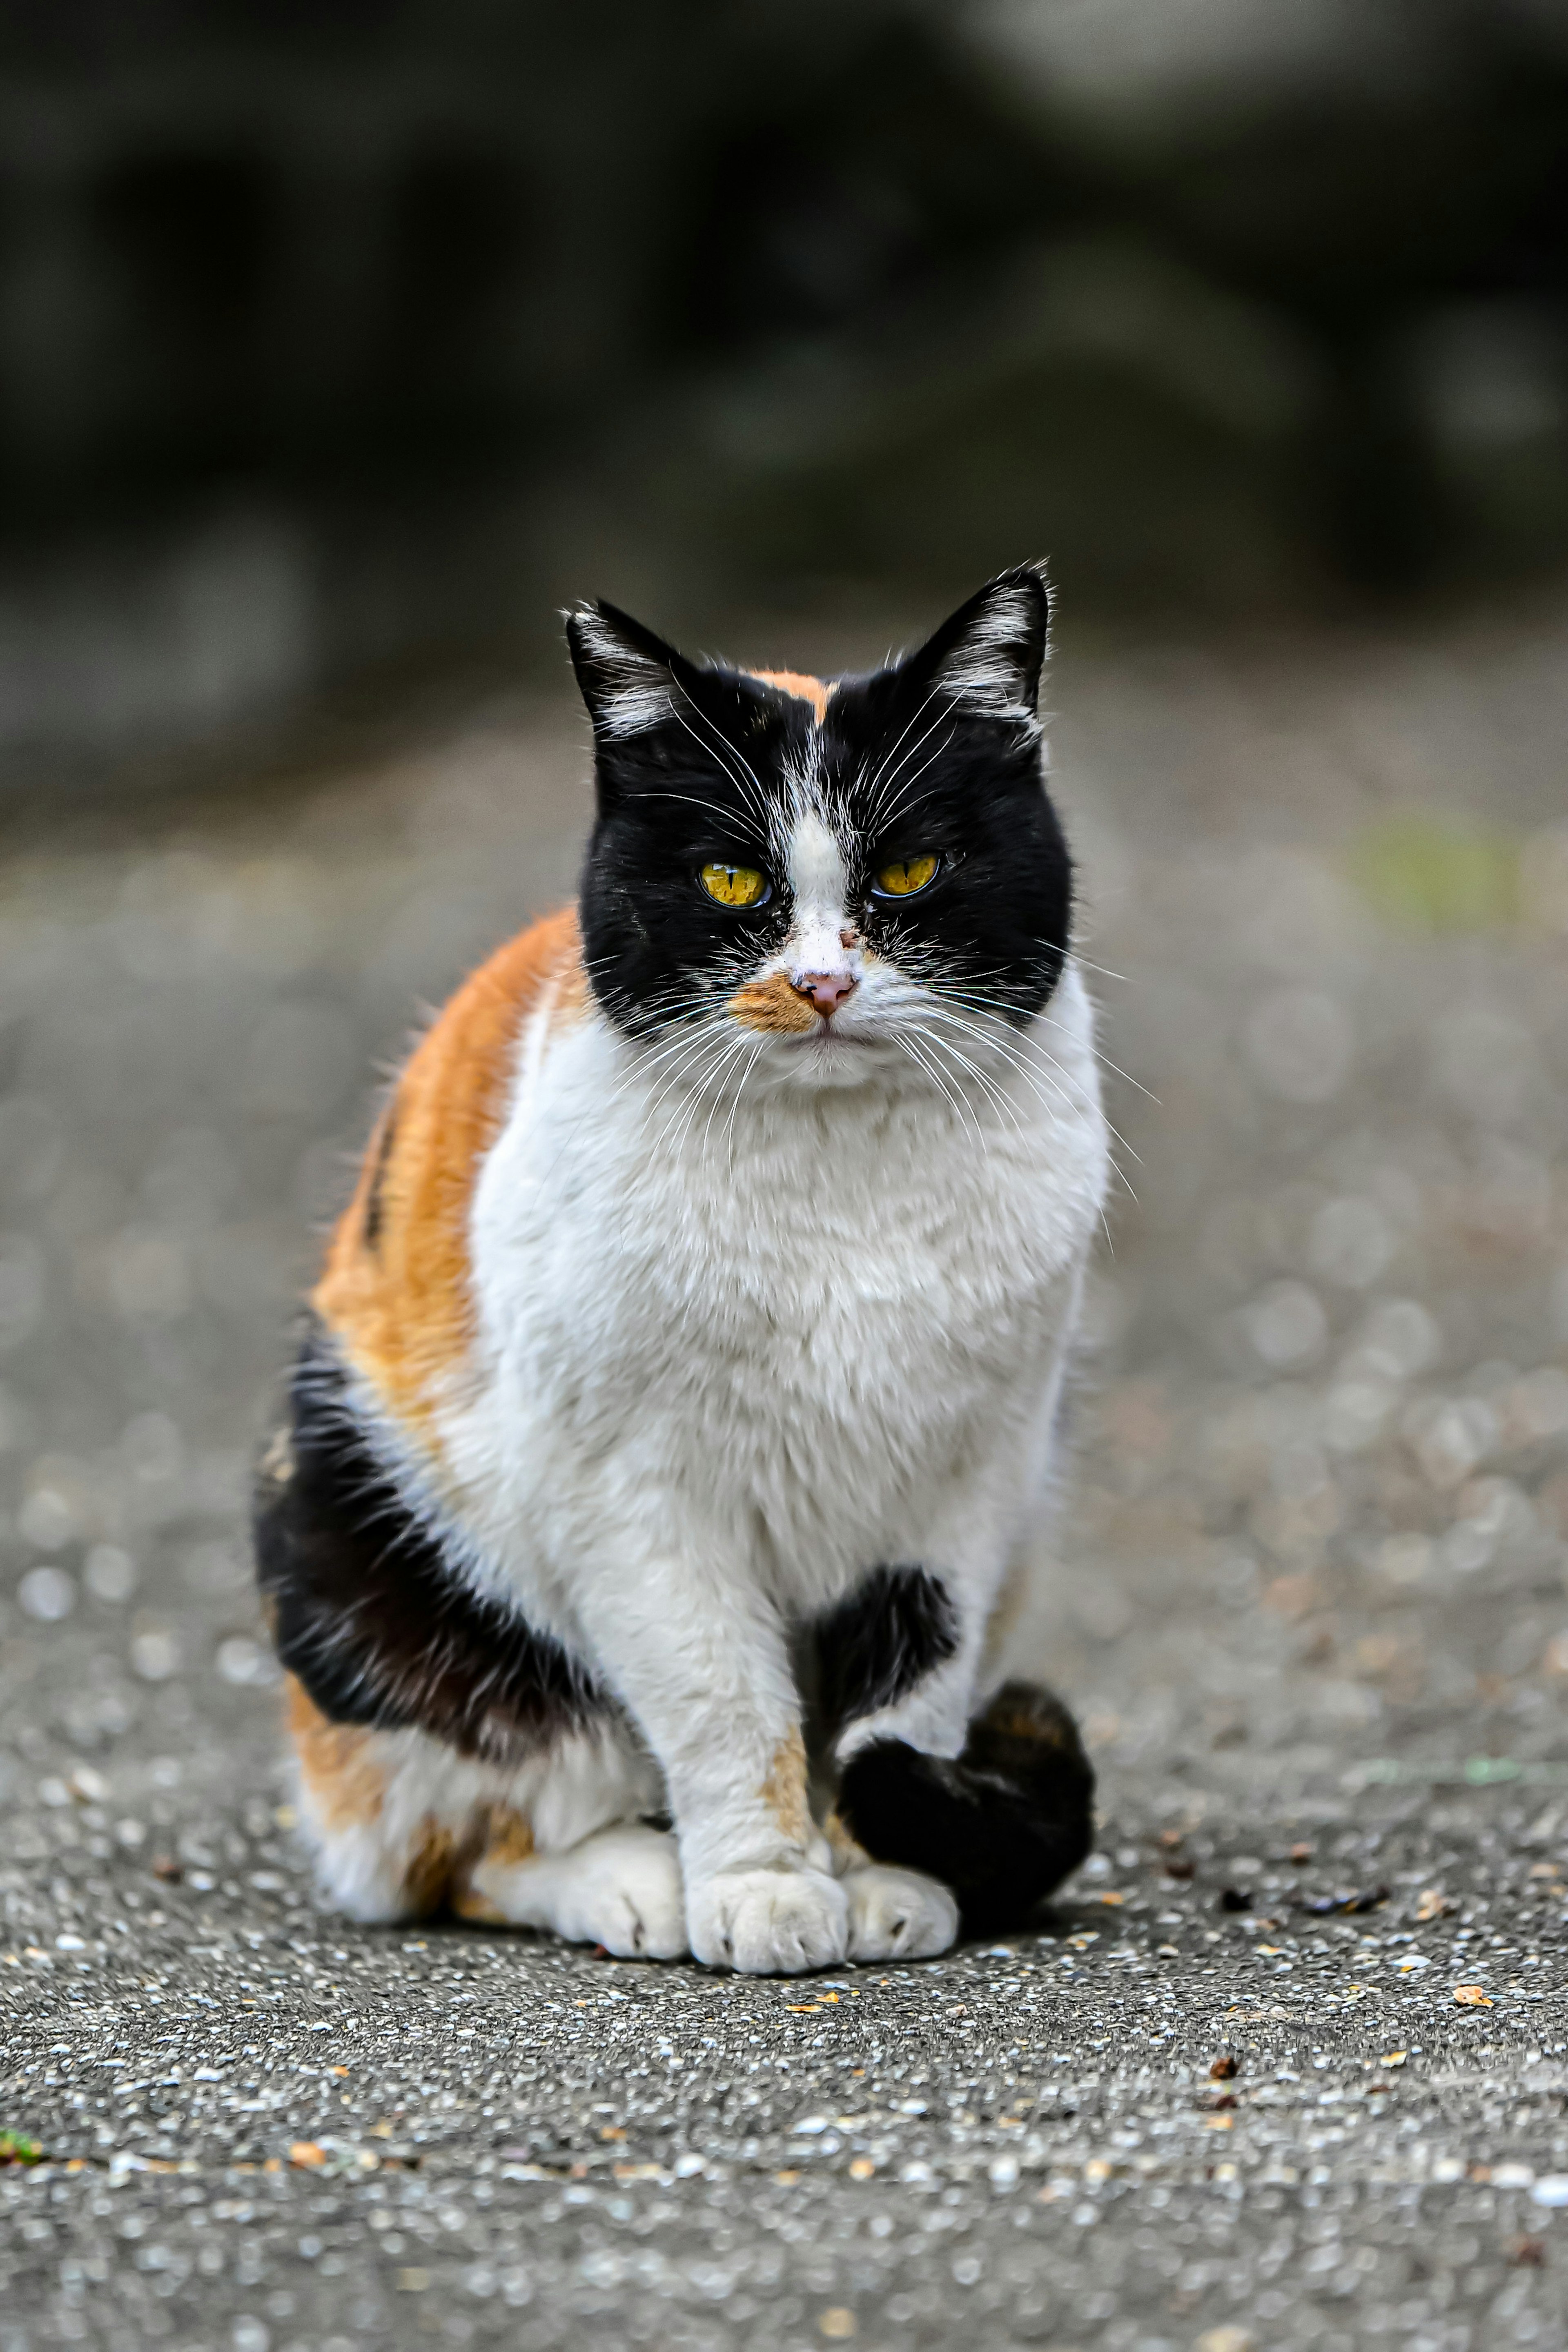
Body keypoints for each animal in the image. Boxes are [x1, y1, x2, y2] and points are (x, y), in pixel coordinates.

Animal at [257, 564, 1109, 1966]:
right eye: (726, 879)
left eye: (909, 868)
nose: (819, 985)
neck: (839, 1199)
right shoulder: (634, 1499)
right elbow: (724, 1703)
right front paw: (762, 1888)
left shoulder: (969, 1483)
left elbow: (908, 1699)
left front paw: (882, 1874)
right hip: (367, 1542)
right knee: (459, 1849)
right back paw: (632, 1883)